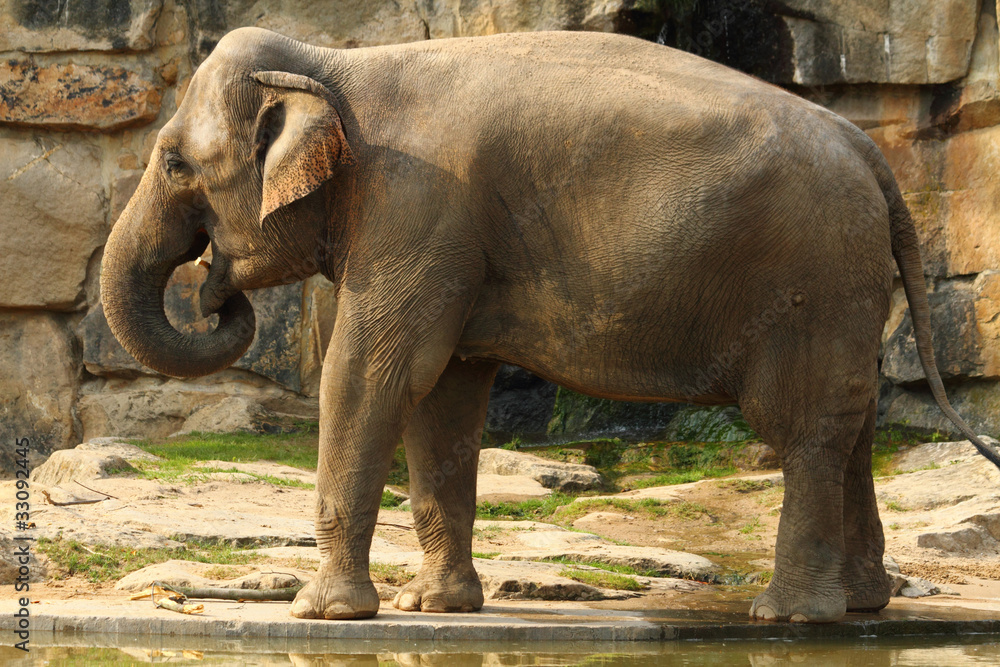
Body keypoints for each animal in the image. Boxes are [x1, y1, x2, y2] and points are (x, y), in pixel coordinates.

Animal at [101, 26, 1000, 624]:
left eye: (175, 163)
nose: (217, 290)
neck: (337, 62)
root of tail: (871, 153)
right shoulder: (437, 230)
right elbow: (443, 396)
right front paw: (435, 607)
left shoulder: (415, 208)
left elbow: (374, 371)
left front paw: (321, 613)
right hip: (845, 282)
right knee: (855, 420)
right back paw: (864, 603)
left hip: (809, 272)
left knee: (803, 425)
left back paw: (789, 617)